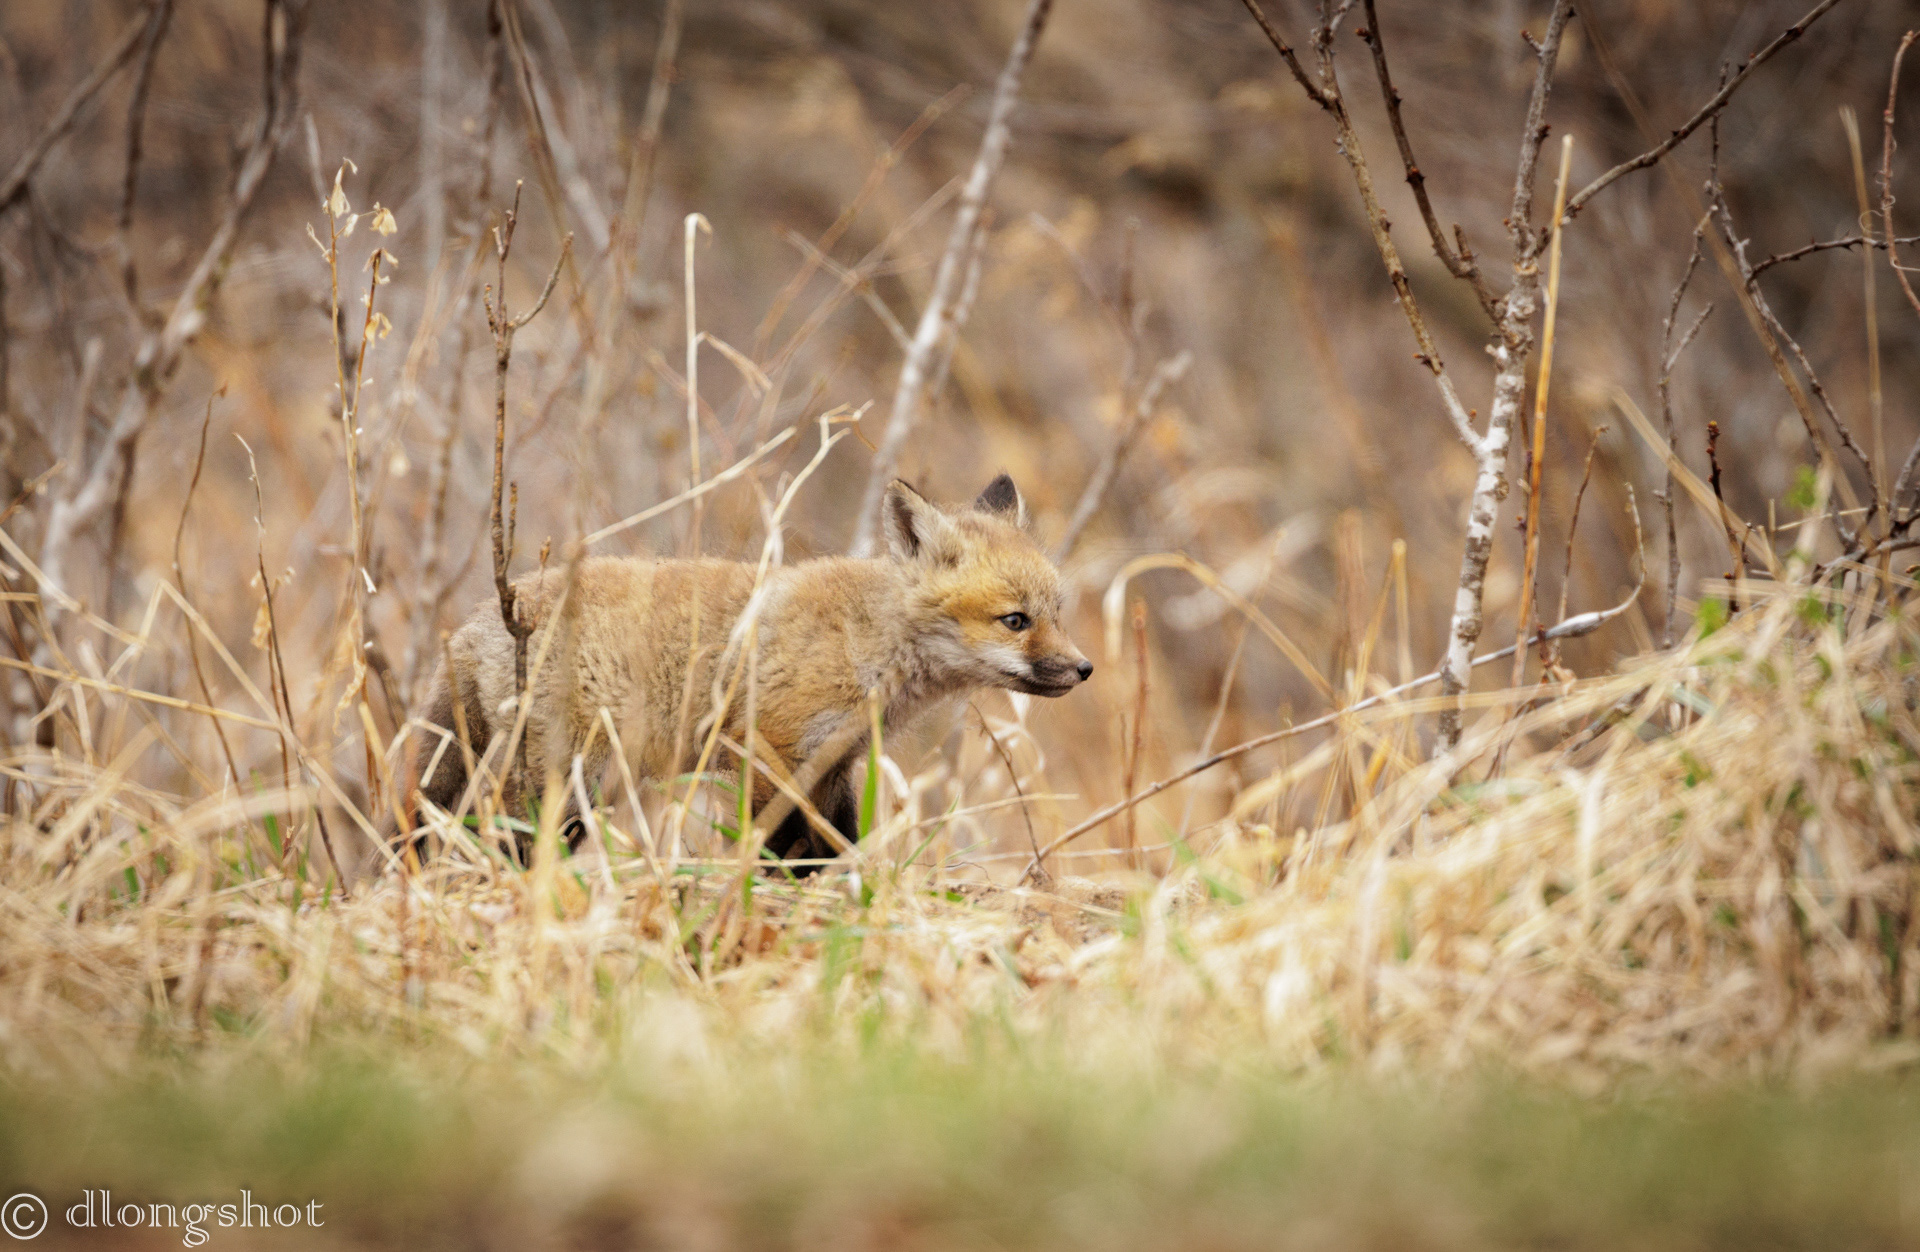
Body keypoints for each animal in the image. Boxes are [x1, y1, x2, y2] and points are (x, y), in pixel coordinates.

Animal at [392, 474, 1092, 867]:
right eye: (1015, 621)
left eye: (1057, 613)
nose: (1083, 668)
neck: (864, 641)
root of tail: (483, 618)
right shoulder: (763, 748)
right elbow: (782, 848)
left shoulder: (833, 764)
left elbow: (836, 848)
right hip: (566, 785)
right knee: (497, 844)